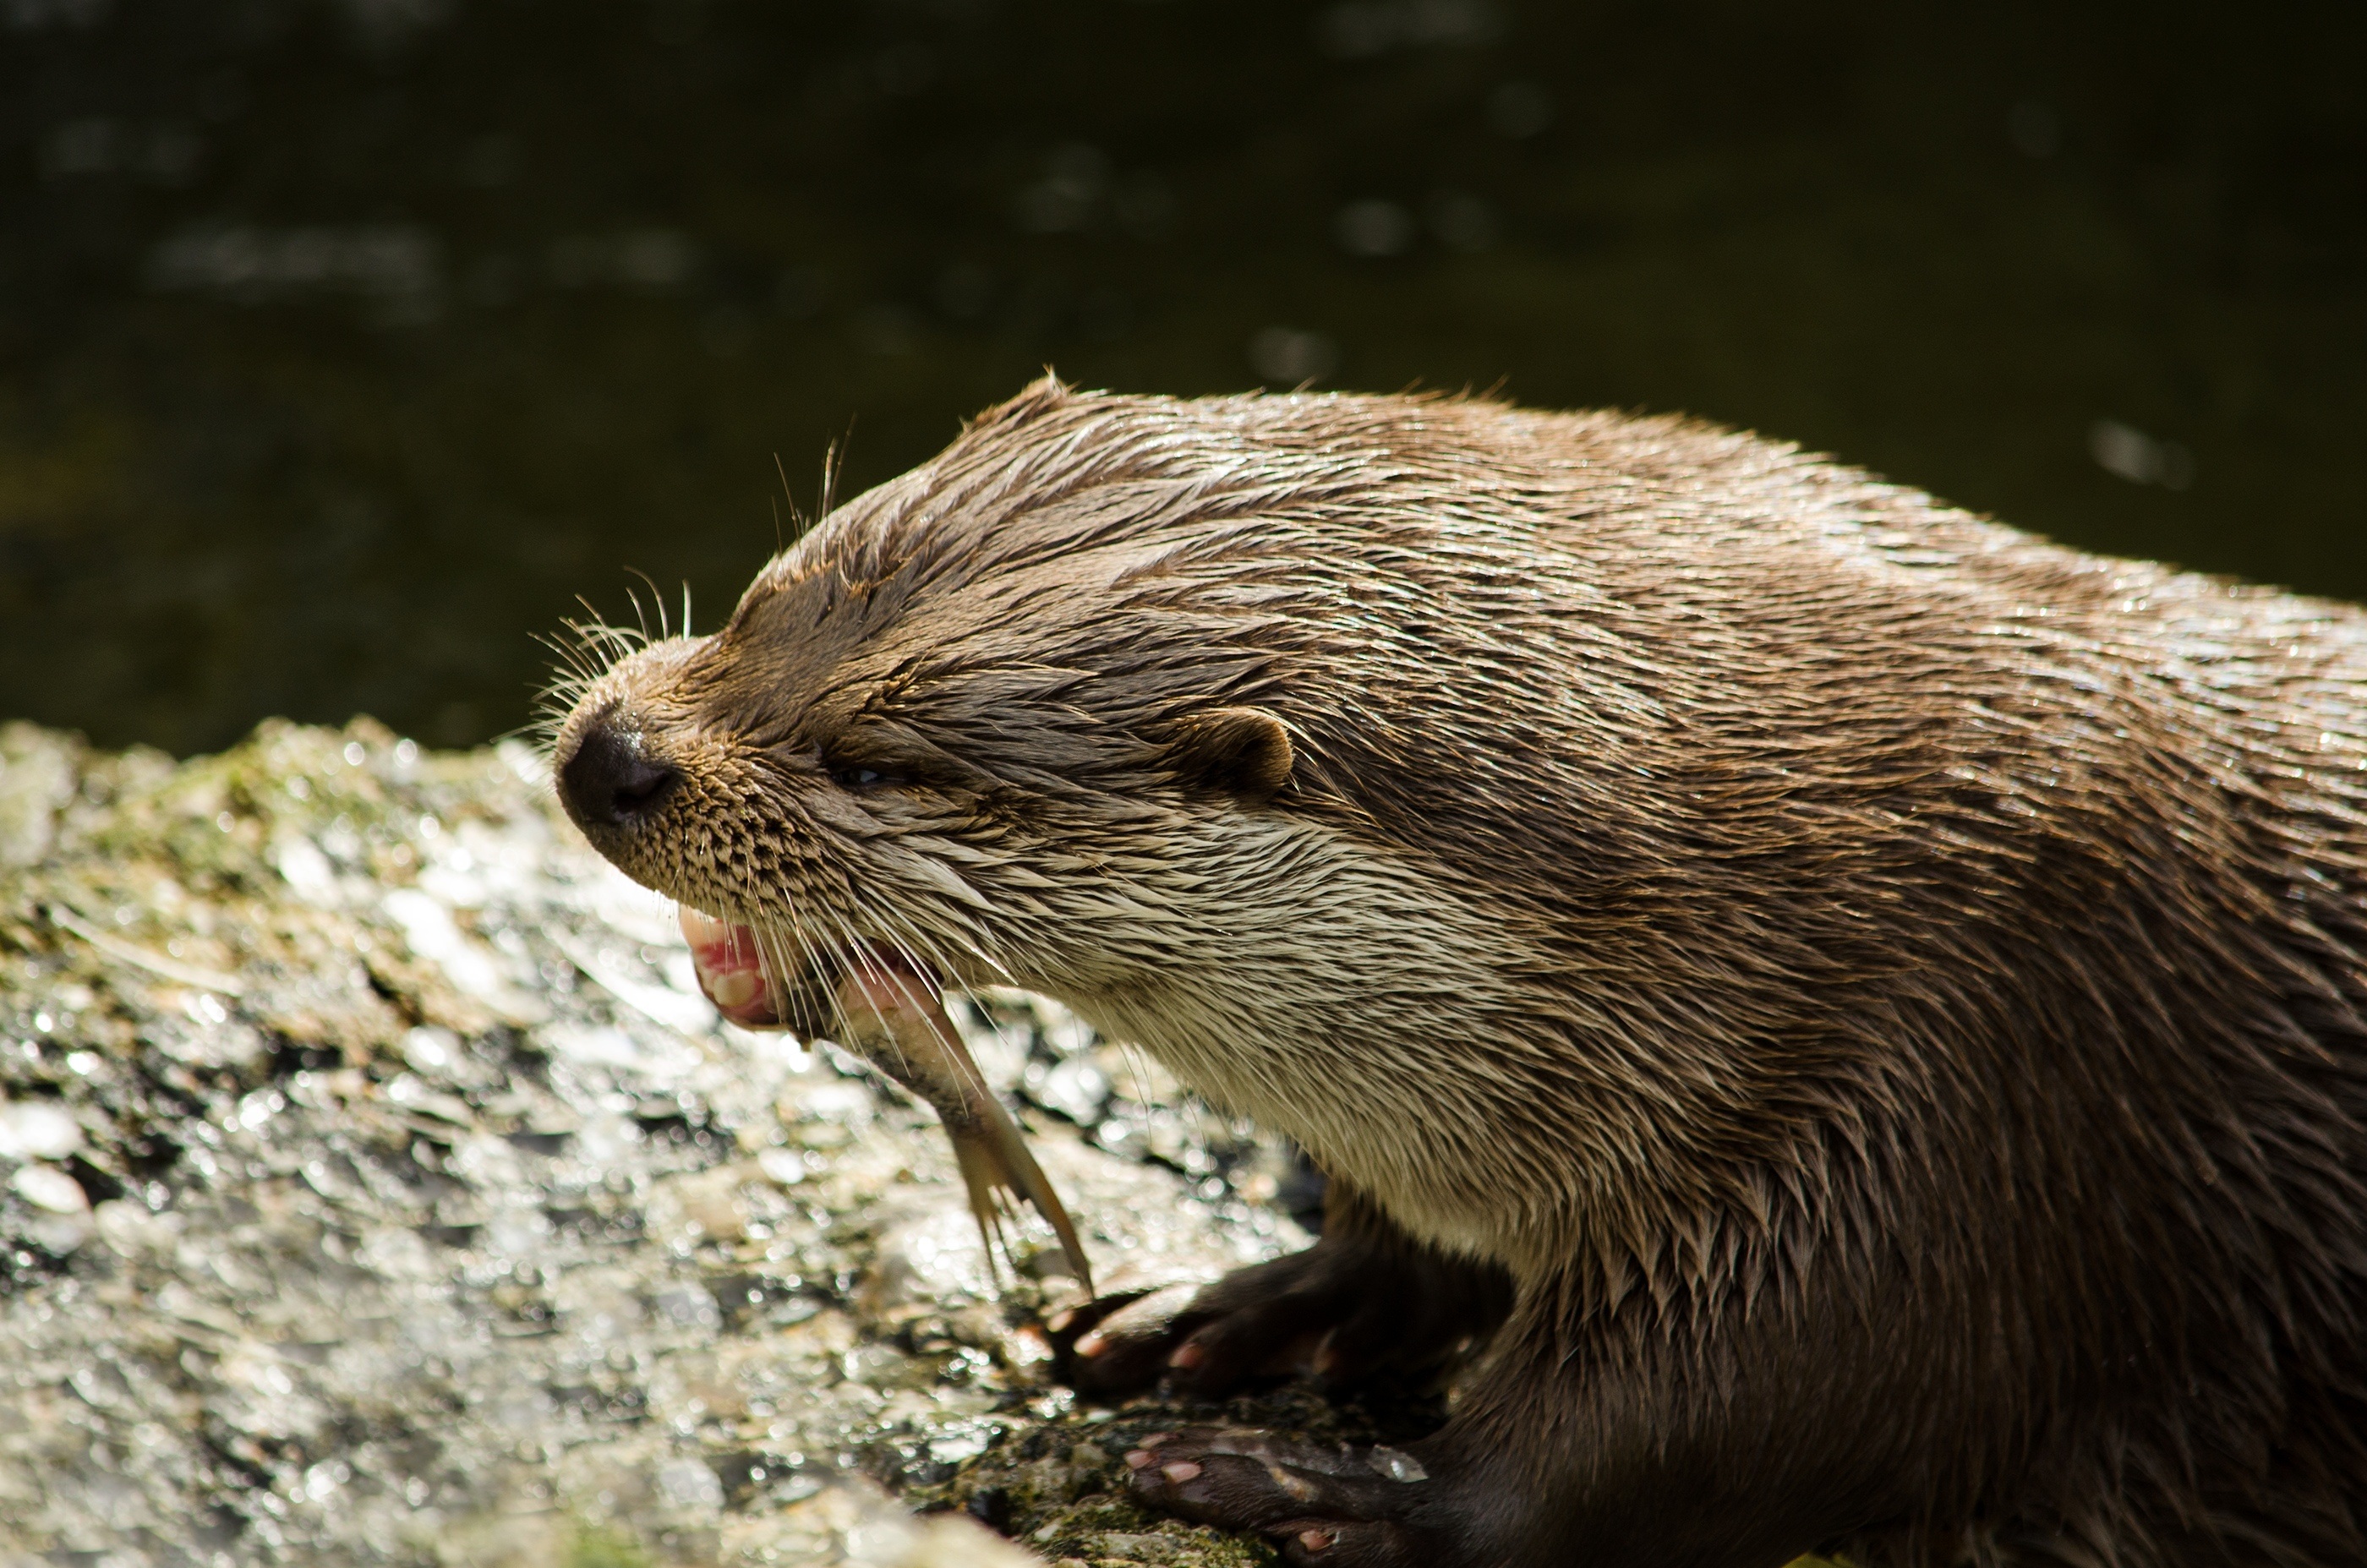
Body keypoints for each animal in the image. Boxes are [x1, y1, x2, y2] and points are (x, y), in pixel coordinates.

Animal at [549, 383, 2367, 1568]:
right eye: (765, 595)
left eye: (879, 764)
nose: (611, 756)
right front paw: (1246, 1308)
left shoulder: (1957, 1126)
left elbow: (1700, 1437)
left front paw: (1336, 1495)